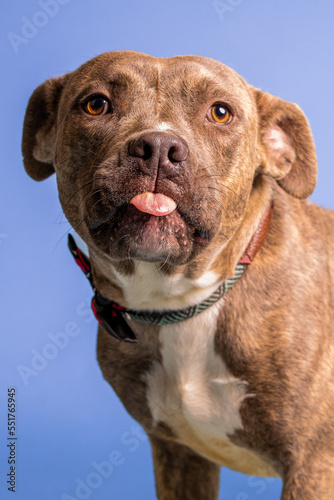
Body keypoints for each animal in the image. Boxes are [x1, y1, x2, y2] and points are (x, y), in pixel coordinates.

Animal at [22, 51, 334, 500]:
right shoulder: (180, 455)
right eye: (96, 104)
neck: (179, 299)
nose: (157, 147)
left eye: (220, 112)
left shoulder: (312, 463)